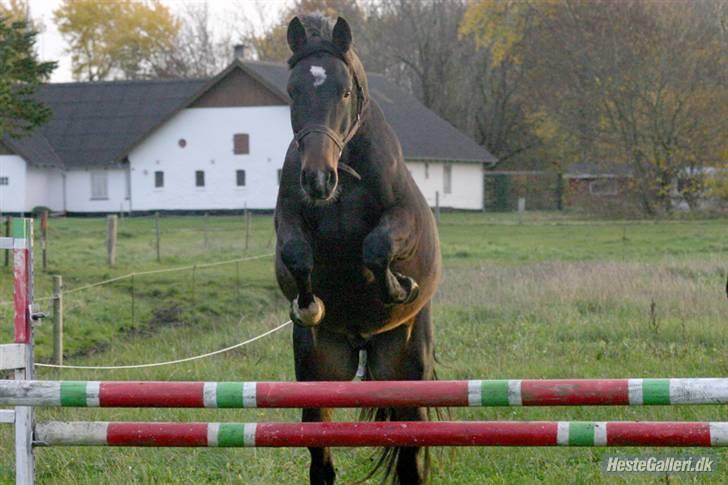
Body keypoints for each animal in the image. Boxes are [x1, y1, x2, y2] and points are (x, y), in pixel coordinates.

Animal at [274, 13, 440, 482]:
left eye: (344, 91)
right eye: (292, 91)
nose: (317, 179)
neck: (344, 174)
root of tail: (362, 344)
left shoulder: (403, 217)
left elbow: (376, 246)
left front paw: (400, 287)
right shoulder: (287, 222)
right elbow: (297, 256)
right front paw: (308, 305)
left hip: (405, 370)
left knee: (410, 459)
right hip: (318, 374)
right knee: (321, 459)